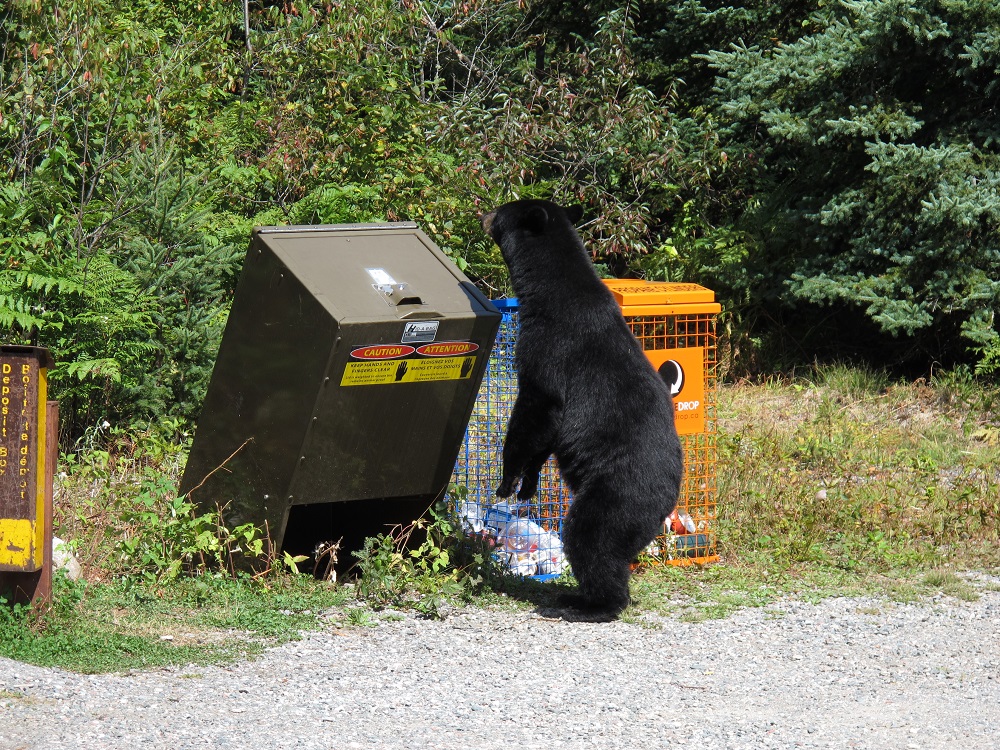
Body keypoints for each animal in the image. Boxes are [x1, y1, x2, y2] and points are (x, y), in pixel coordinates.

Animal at [478, 198, 684, 624]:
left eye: (501, 210)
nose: (483, 215)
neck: (546, 294)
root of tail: (669, 500)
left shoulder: (549, 350)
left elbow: (535, 413)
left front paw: (506, 481)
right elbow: (546, 437)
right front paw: (528, 485)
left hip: (618, 494)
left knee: (592, 540)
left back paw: (586, 603)